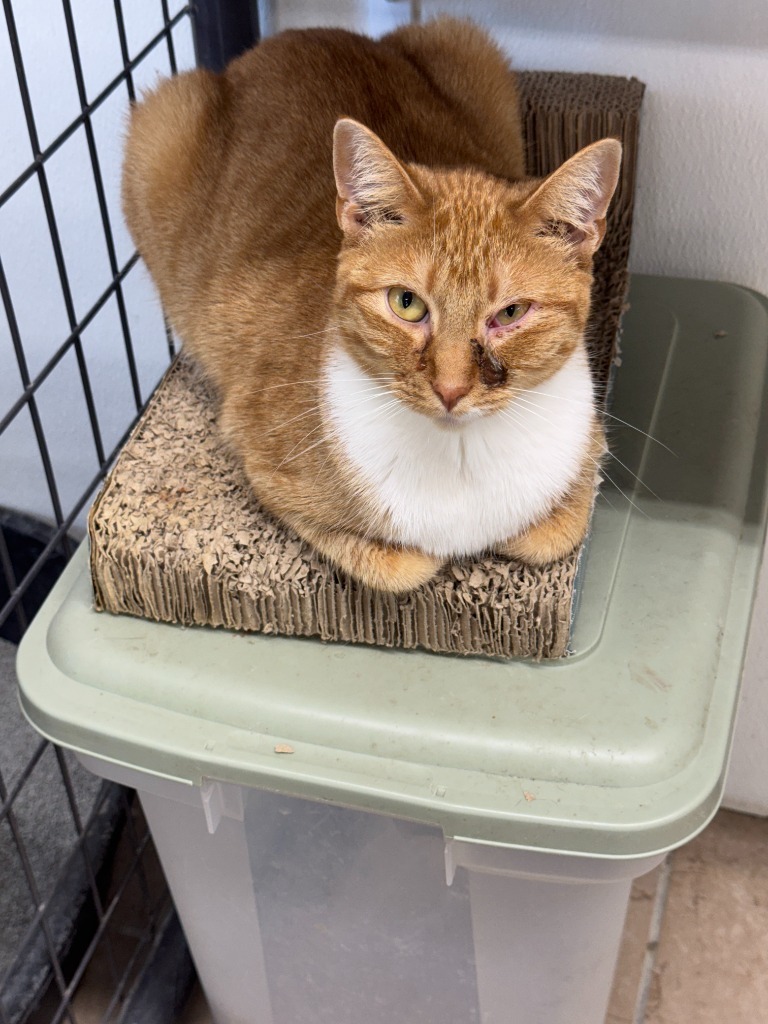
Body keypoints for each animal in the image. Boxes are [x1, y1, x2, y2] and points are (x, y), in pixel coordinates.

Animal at [123, 18, 622, 593]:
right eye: (406, 304)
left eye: (511, 314)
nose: (451, 389)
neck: (459, 458)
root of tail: (299, 33)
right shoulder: (258, 451)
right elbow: (399, 564)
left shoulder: (587, 453)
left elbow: (554, 531)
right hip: (159, 125)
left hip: (466, 41)